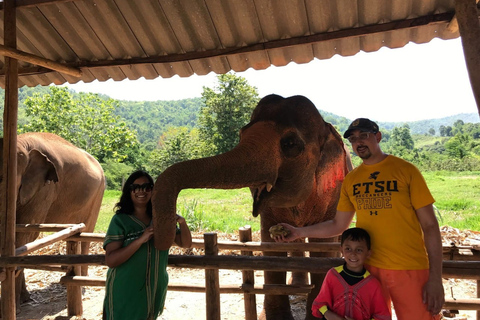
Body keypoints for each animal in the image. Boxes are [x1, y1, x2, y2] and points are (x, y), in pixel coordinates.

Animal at [0, 132, 105, 310]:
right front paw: (24, 300)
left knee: (87, 232)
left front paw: (16, 307)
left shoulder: (45, 188)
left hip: (98, 194)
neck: (22, 142)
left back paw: (82, 284)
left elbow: (26, 233)